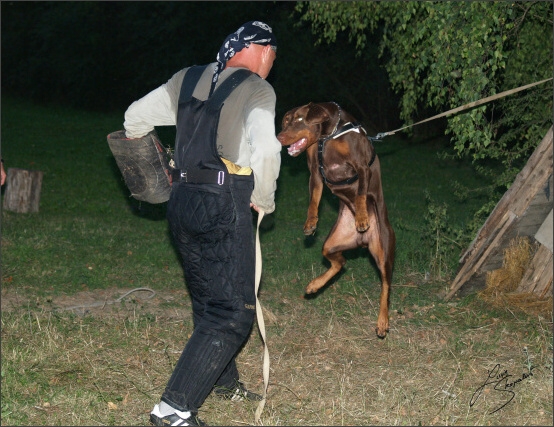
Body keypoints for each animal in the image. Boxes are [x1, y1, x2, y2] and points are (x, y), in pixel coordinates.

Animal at [276, 103, 392, 338]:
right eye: (286, 121)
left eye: (299, 119)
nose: (279, 136)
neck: (327, 136)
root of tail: (363, 241)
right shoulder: (315, 171)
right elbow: (314, 198)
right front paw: (311, 222)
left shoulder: (361, 167)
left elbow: (361, 193)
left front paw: (362, 217)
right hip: (331, 243)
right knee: (341, 263)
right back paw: (315, 284)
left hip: (383, 250)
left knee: (386, 285)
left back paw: (382, 320)